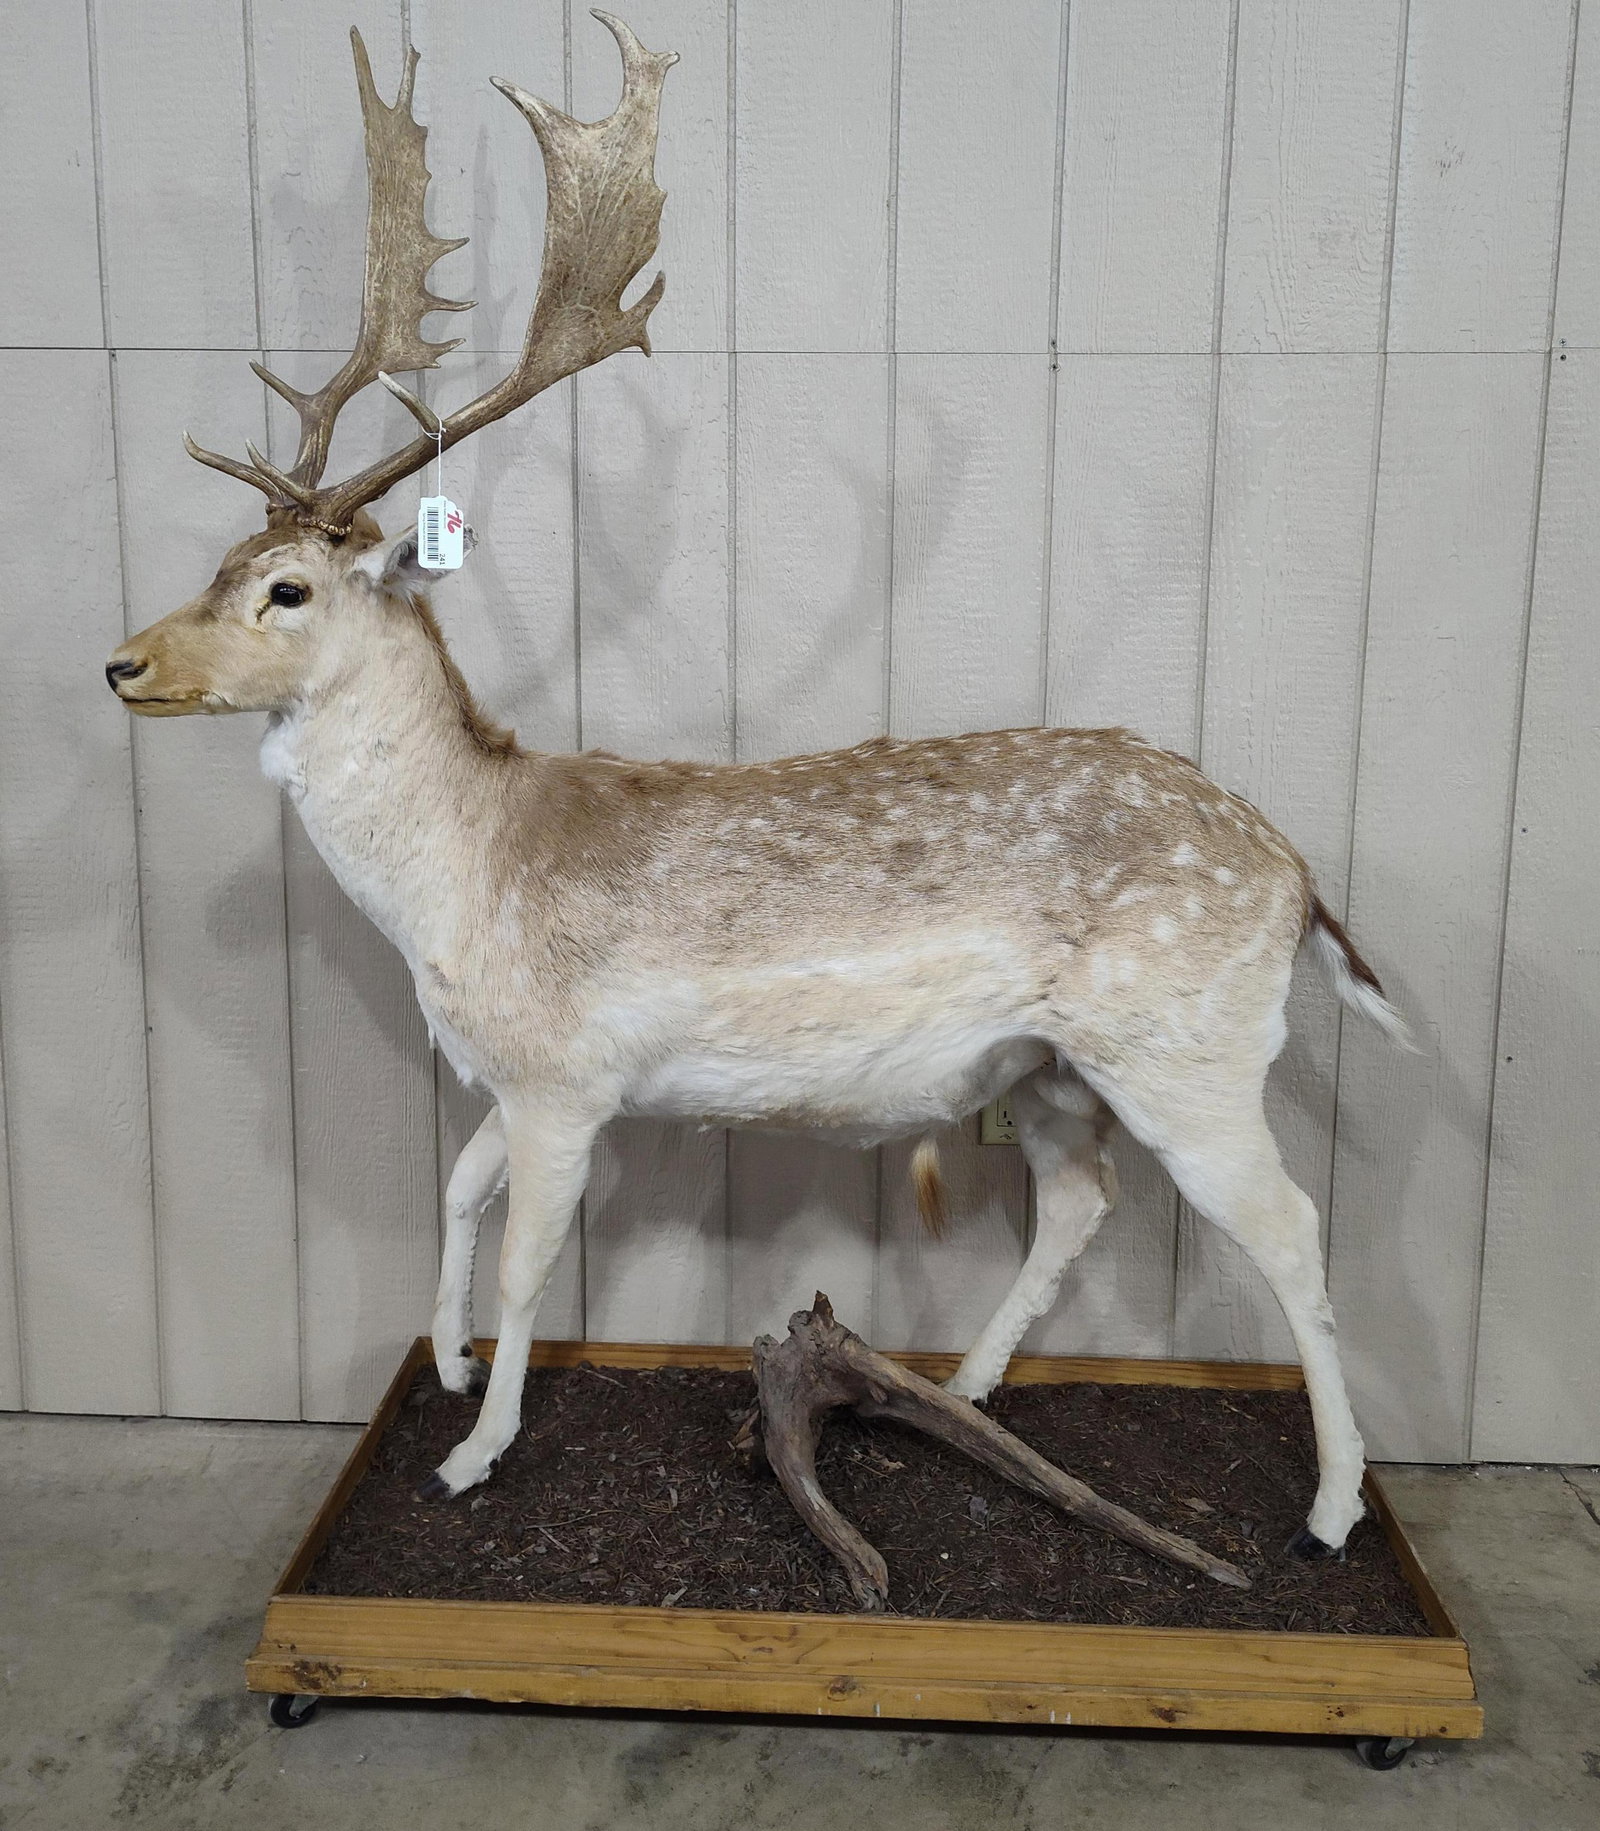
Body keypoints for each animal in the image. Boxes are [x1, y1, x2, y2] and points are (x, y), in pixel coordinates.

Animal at [106, 12, 1411, 1559]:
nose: (123, 663)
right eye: (219, 561)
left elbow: (530, 1258)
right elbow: (456, 1189)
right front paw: (446, 1366)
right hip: (1049, 1067)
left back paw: (1330, 1507)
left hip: (1188, 1046)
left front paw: (472, 1453)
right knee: (1082, 1203)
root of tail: (1298, 876)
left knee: (1293, 1227)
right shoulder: (516, 1071)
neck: (458, 883)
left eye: (288, 588)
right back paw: (966, 1386)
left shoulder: (567, 1075)